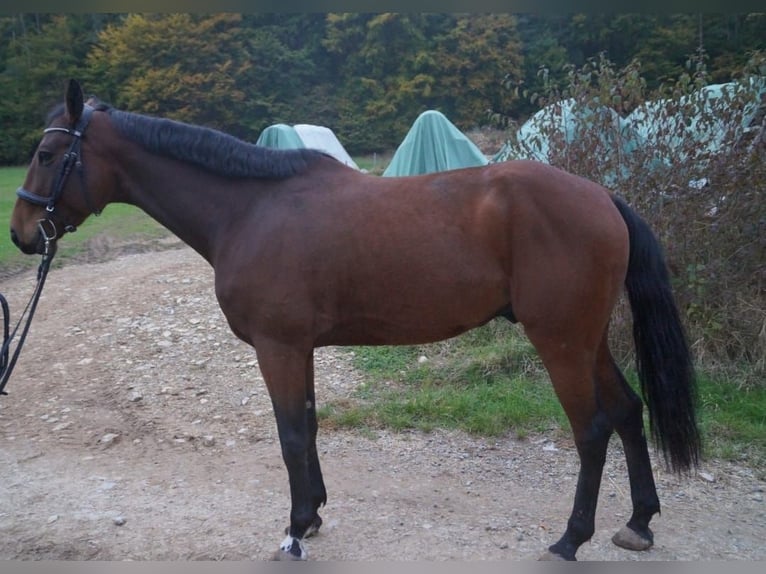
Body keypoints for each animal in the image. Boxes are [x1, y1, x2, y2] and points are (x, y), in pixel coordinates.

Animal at [9, 81, 704, 564]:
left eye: (47, 152)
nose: (20, 234)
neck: (249, 209)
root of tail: (602, 196)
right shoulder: (300, 347)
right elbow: (309, 426)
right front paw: (313, 515)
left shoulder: (277, 347)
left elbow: (291, 435)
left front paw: (294, 532)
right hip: (586, 340)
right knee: (628, 412)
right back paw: (638, 524)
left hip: (560, 342)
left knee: (592, 430)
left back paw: (570, 538)